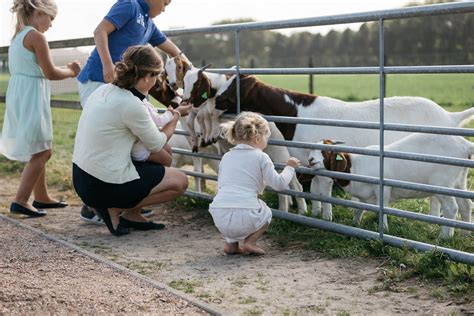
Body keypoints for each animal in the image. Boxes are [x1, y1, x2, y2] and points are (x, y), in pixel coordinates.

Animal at [306, 136, 472, 239]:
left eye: (325, 151)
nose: (311, 160)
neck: (355, 167)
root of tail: (465, 145)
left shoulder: (382, 189)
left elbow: (383, 208)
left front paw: (384, 229)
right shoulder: (363, 195)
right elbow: (358, 209)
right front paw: (355, 224)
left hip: (442, 184)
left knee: (451, 208)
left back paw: (445, 237)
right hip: (459, 181)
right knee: (466, 205)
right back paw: (465, 234)